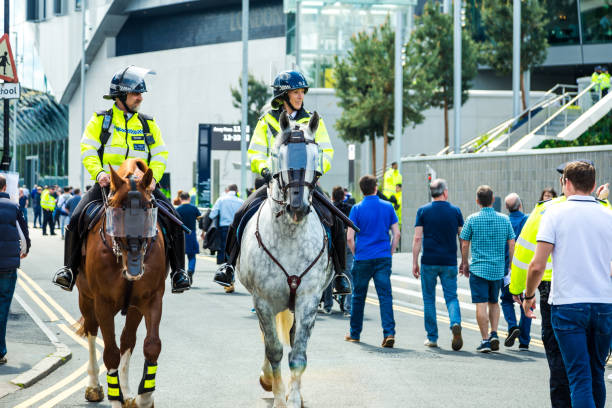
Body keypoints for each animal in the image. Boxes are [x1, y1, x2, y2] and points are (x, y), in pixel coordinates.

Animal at [76, 158, 167, 406]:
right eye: (116, 212)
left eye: (148, 209)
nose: (135, 264)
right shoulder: (103, 303)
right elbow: (110, 352)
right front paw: (114, 397)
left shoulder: (151, 299)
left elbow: (151, 345)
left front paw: (144, 396)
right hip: (86, 299)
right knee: (91, 331)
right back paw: (94, 386)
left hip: (134, 308)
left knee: (128, 339)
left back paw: (126, 391)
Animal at [239, 110, 334, 406]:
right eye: (279, 155)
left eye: (314, 156)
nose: (297, 206)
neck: (290, 234)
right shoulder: (263, 301)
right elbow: (274, 349)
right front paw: (279, 395)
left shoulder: (309, 299)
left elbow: (298, 353)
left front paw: (293, 398)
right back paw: (268, 379)